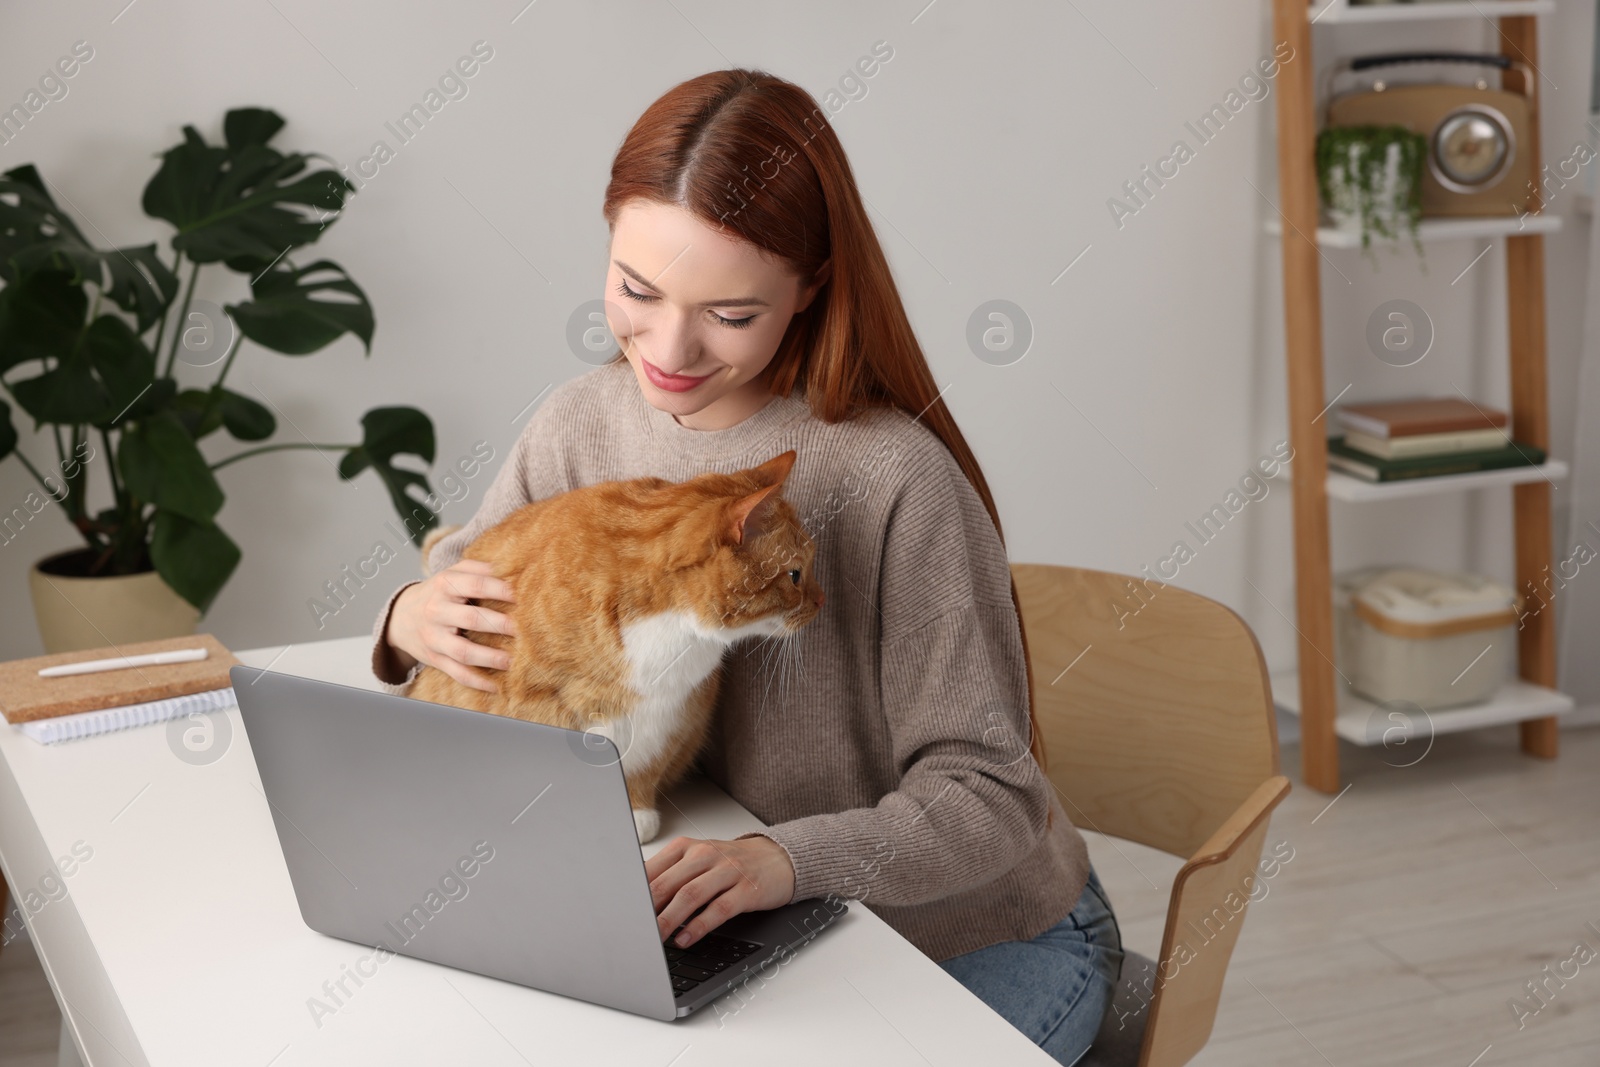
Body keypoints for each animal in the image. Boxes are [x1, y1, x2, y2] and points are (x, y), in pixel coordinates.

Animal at [406, 451, 825, 844]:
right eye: (795, 575)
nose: (822, 601)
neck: (674, 627)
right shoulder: (538, 703)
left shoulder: (675, 710)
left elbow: (644, 764)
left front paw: (634, 813)